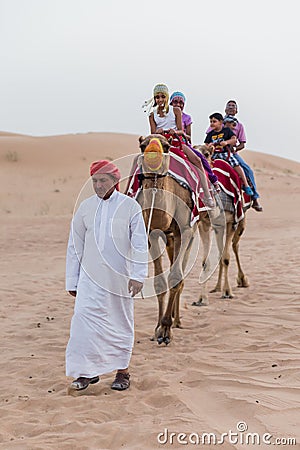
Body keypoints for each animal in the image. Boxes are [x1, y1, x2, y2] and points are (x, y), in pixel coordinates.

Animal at [125, 134, 203, 344]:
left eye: (167, 146)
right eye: (142, 145)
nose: (153, 153)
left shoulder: (184, 230)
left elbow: (175, 277)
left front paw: (166, 330)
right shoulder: (151, 232)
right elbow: (160, 282)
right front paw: (158, 328)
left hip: (190, 233)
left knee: (181, 273)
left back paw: (176, 321)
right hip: (169, 238)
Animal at [193, 145, 250, 306]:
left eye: (206, 153)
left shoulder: (232, 222)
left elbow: (226, 258)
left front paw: (228, 292)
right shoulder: (204, 225)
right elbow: (205, 262)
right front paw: (201, 299)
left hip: (241, 221)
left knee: (234, 246)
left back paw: (242, 280)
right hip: (219, 227)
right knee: (220, 251)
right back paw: (217, 287)